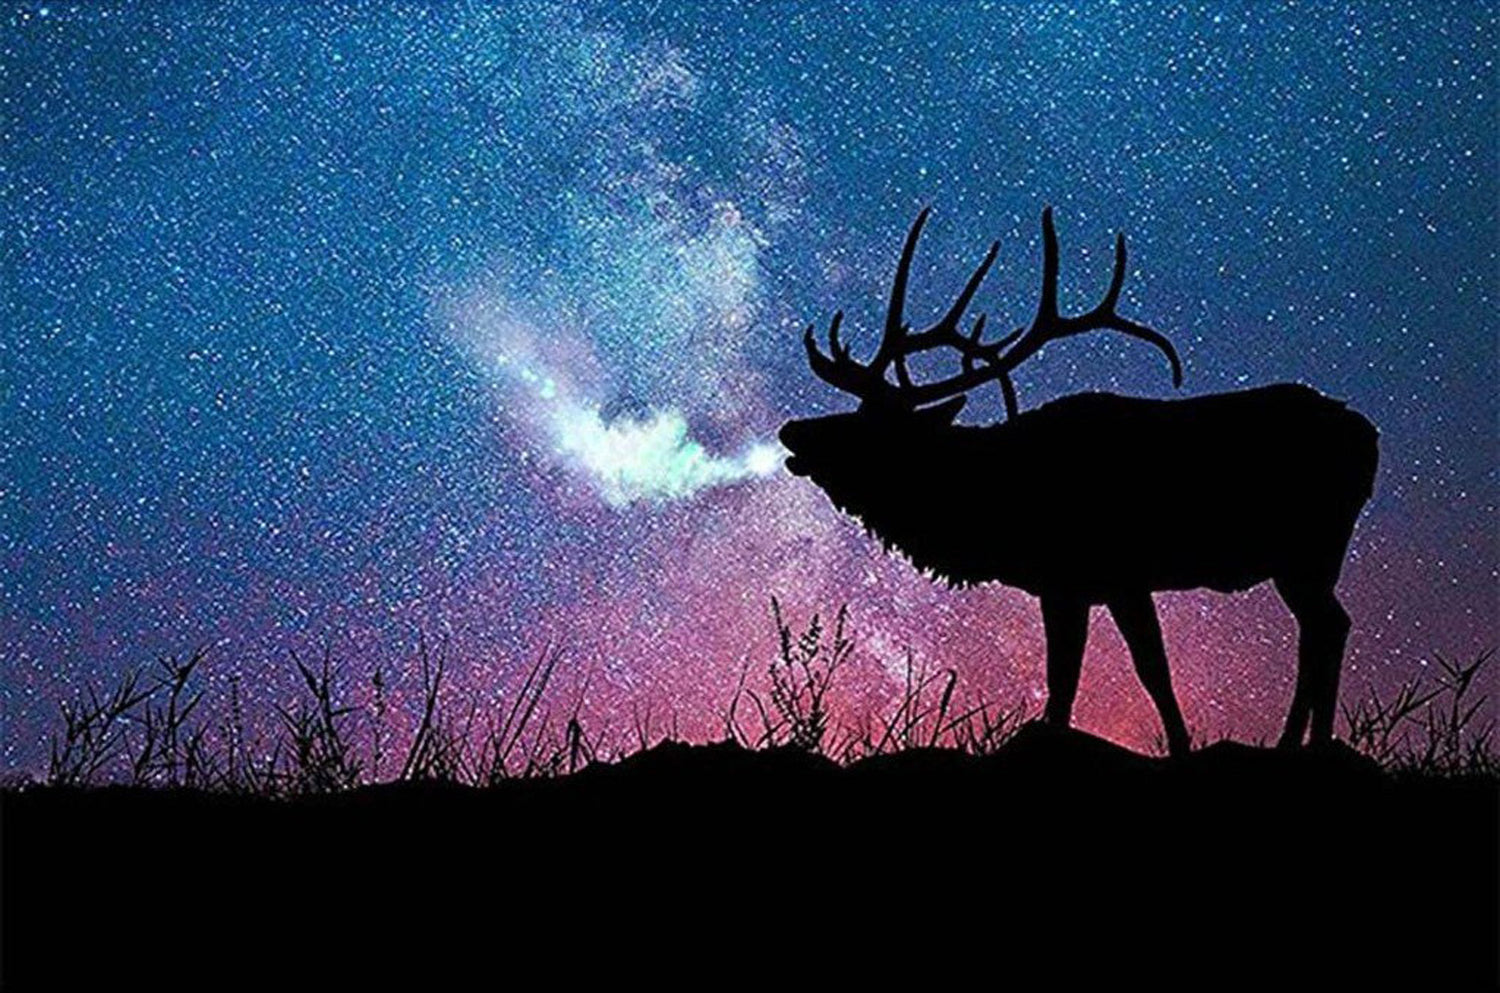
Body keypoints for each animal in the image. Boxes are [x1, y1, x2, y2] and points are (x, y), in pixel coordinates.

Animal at [779, 207, 1379, 756]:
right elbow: (1071, 678)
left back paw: (1300, 743)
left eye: (870, 426)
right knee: (1327, 627)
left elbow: (1137, 670)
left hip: (1307, 548)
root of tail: (1369, 439)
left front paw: (1180, 746)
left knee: (1327, 628)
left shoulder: (1114, 575)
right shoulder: (1069, 583)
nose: (791, 430)